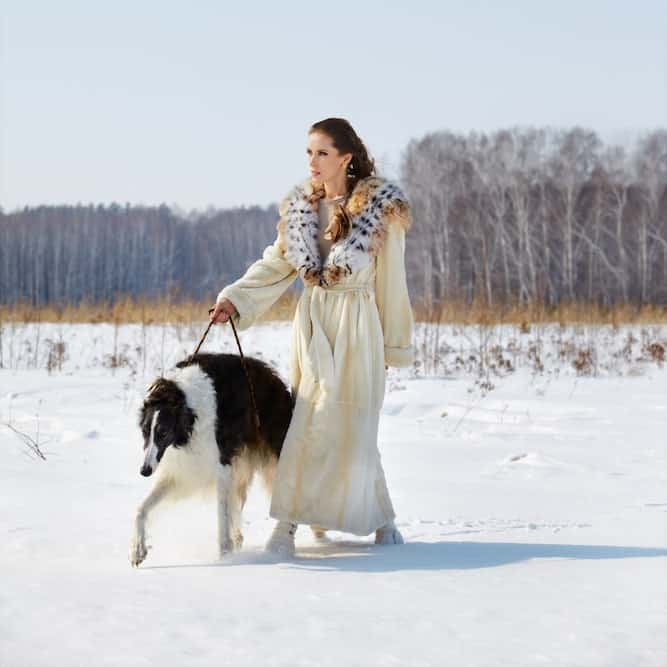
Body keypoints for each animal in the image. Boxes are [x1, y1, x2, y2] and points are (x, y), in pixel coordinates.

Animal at [130, 352, 294, 568]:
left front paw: (225, 557)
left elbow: (221, 517)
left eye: (163, 432)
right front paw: (137, 550)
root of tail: (280, 384)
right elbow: (140, 509)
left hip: (273, 460)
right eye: (145, 432)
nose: (144, 471)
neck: (188, 407)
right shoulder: (181, 472)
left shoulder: (222, 467)